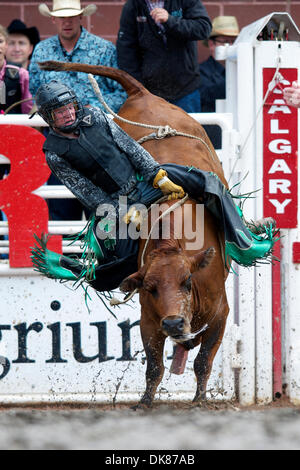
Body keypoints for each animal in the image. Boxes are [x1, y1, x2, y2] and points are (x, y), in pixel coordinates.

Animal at [37, 60, 230, 406]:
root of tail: (140, 92)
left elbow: (203, 360)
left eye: (188, 280)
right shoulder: (150, 319)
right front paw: (145, 402)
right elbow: (154, 365)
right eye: (150, 288)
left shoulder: (221, 313)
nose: (174, 322)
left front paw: (200, 399)